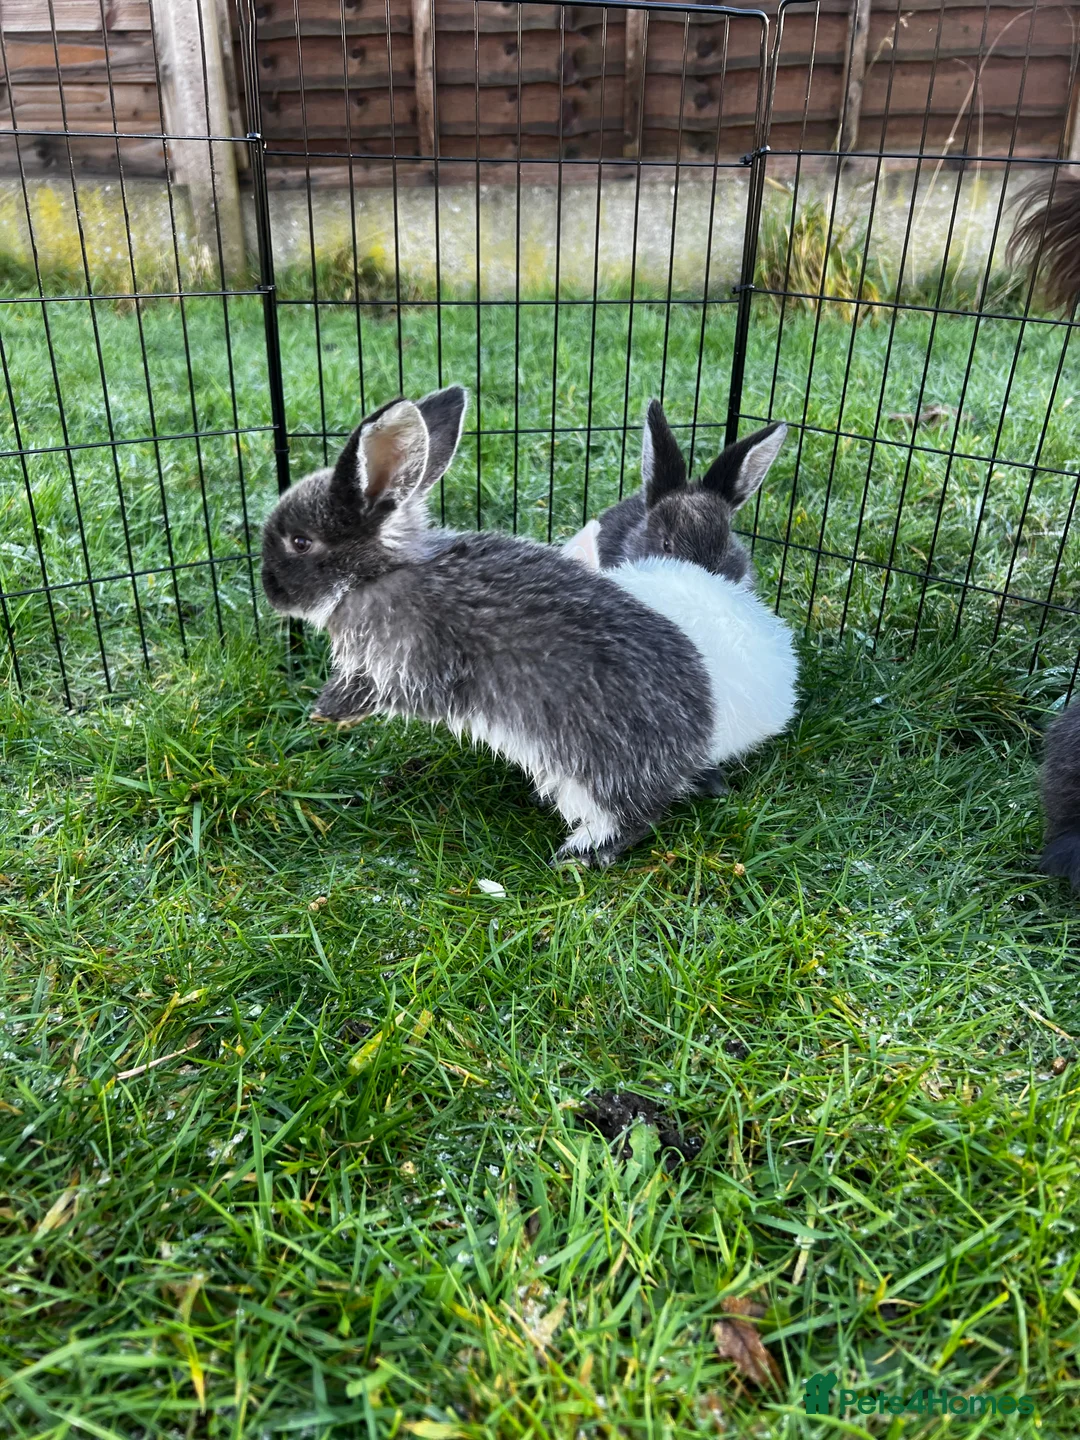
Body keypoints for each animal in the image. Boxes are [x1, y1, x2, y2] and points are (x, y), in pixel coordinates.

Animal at [260, 385, 726, 868]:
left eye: (300, 542)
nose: (270, 592)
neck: (376, 575)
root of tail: (692, 749)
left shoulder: (405, 664)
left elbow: (376, 691)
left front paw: (327, 710)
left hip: (594, 771)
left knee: (635, 814)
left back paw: (578, 854)